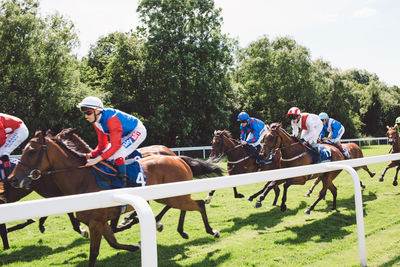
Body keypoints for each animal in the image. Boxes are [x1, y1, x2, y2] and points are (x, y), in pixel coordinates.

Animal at [9, 131, 220, 266]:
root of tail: (177, 158)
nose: (13, 179)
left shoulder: (96, 221)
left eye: (32, 151)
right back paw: (180, 230)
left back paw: (211, 230)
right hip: (171, 195)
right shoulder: (99, 221)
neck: (83, 180)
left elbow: (94, 253)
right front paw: (136, 245)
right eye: (24, 150)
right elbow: (113, 242)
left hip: (174, 196)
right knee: (187, 206)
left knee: (198, 204)